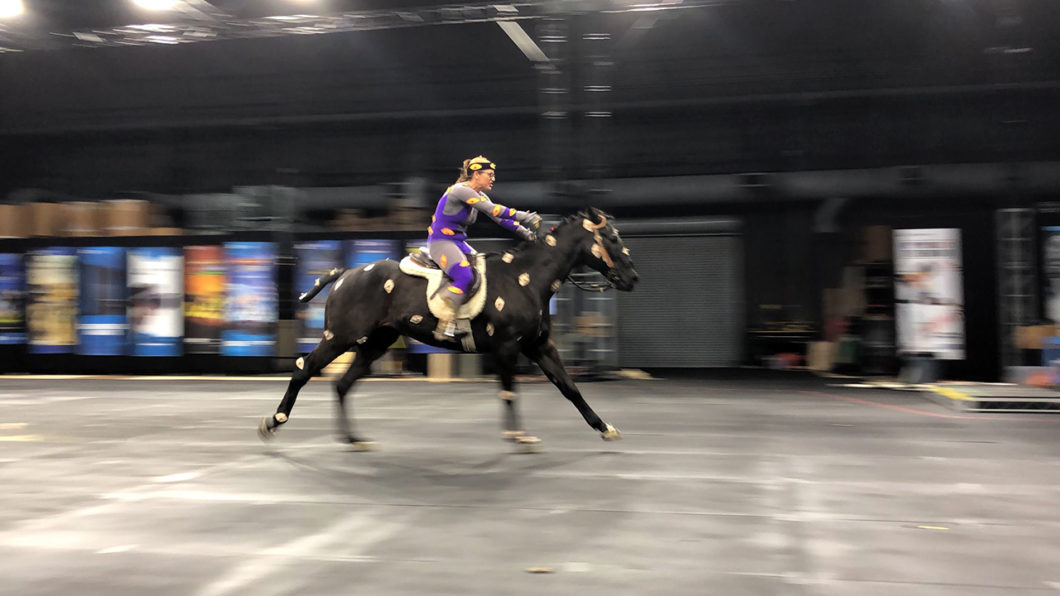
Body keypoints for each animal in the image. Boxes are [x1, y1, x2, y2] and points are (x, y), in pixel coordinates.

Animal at [256, 206, 635, 447]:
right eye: (612, 238)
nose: (632, 278)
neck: (526, 279)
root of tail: (345, 274)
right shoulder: (507, 347)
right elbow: (510, 391)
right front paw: (518, 436)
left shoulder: (538, 345)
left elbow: (569, 388)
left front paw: (604, 427)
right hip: (340, 337)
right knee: (304, 369)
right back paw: (274, 421)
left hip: (375, 342)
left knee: (343, 385)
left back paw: (353, 438)